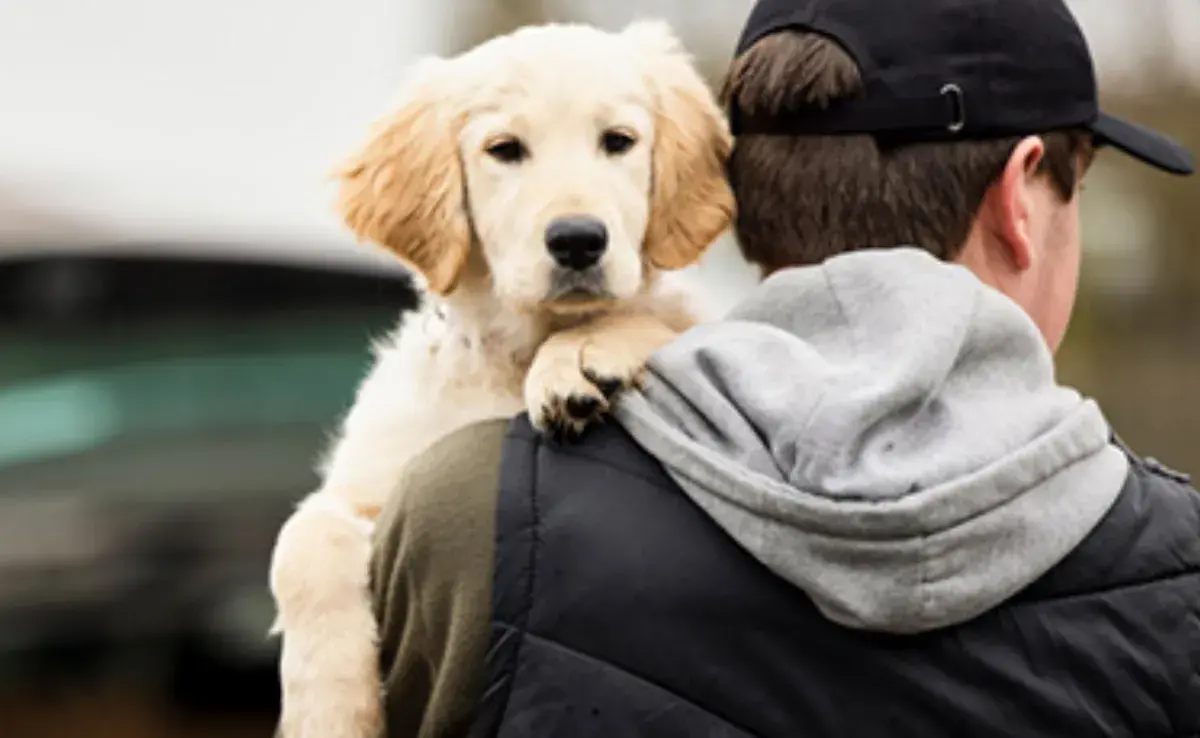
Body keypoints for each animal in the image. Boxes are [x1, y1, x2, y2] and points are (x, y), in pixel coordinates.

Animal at [266, 17, 729, 738]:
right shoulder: (375, 482)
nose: (578, 239)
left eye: (618, 141)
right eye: (505, 150)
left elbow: (658, 318)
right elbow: (301, 541)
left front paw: (580, 353)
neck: (514, 351)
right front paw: (330, 713)